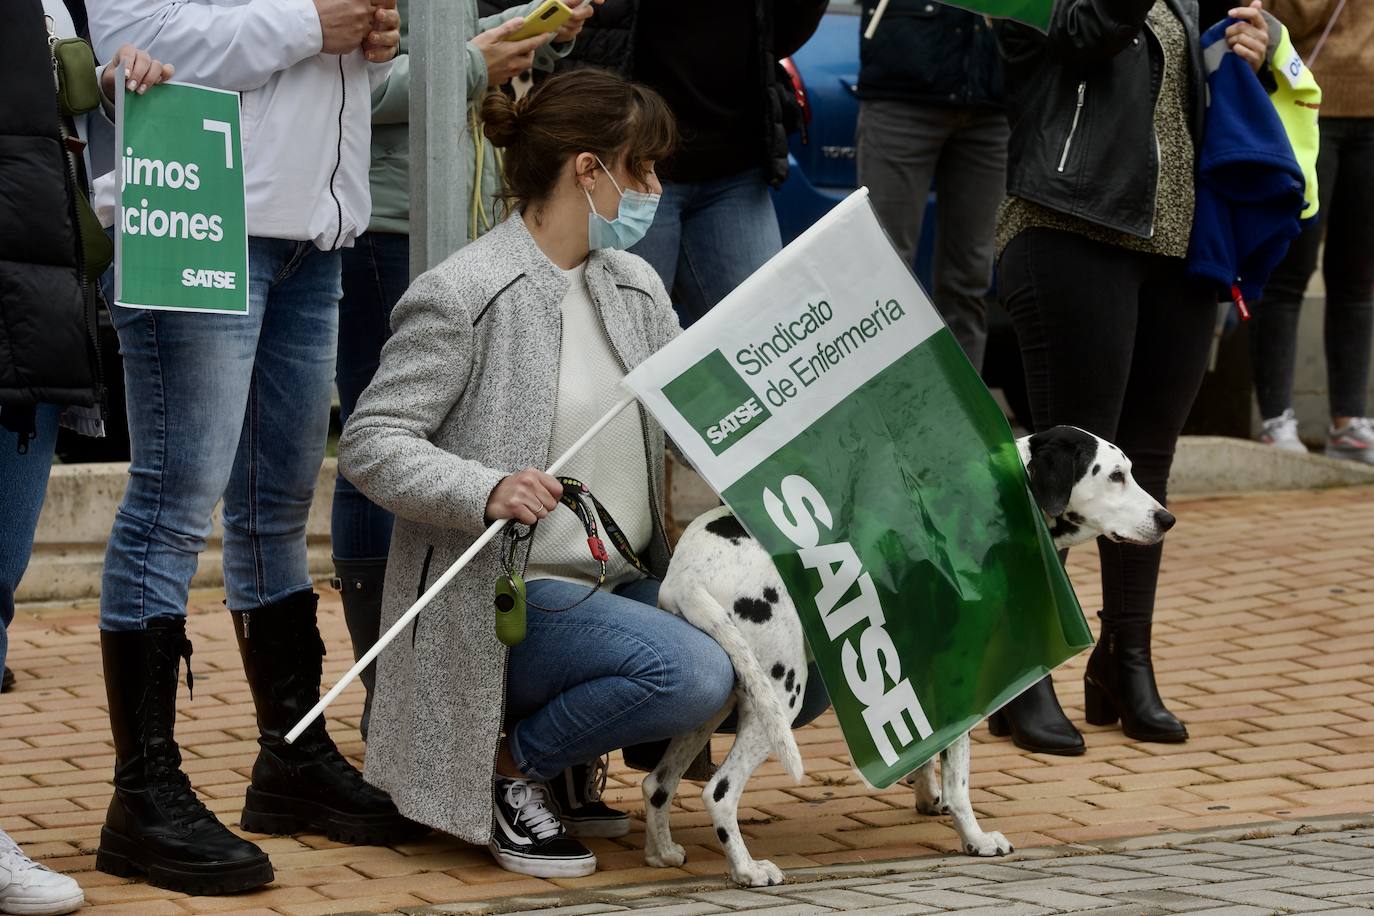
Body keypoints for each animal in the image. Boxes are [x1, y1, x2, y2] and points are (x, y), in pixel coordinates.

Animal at [640, 428, 1170, 889]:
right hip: (778, 696)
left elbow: (928, 747)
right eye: (1116, 475)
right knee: (718, 791)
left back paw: (661, 852)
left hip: (720, 699)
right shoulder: (961, 676)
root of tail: (687, 574)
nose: (1167, 519)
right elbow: (959, 777)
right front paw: (974, 838)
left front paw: (926, 798)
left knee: (657, 782)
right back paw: (747, 870)